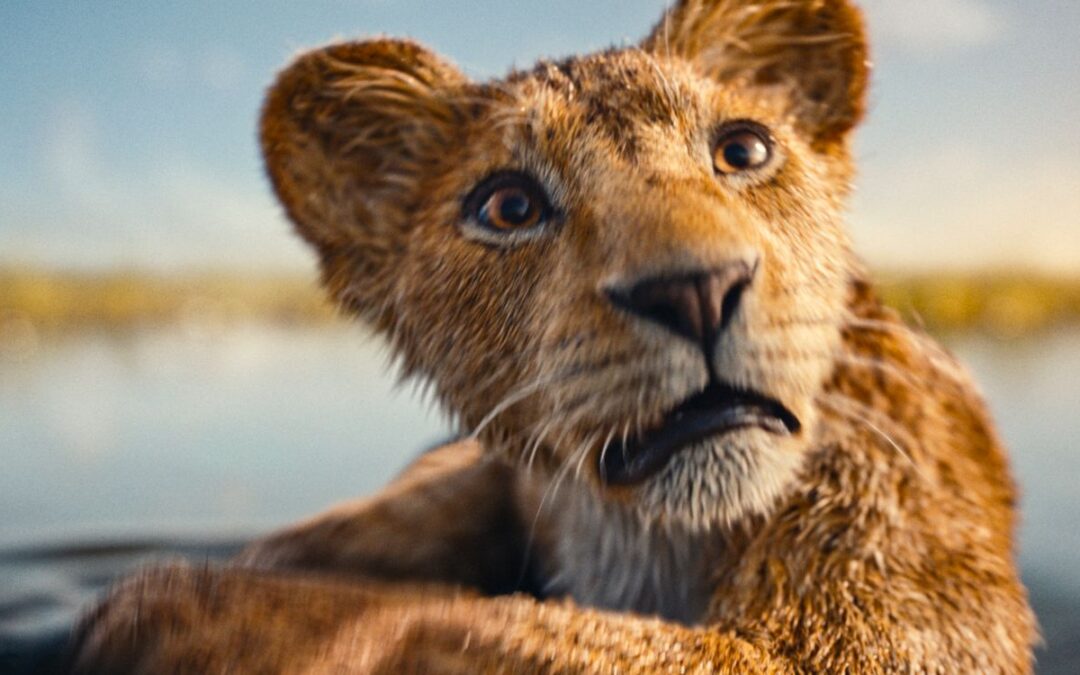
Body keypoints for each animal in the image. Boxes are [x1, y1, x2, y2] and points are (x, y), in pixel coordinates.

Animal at [67, 0, 1037, 672]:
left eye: (744, 150)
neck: (647, 538)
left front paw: (196, 609)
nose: (695, 289)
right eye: (509, 206)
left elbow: (449, 619)